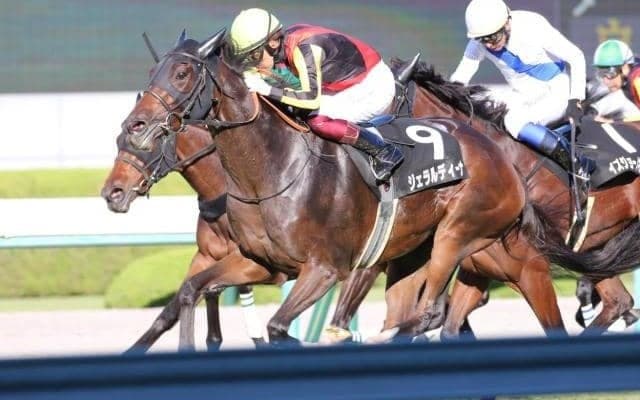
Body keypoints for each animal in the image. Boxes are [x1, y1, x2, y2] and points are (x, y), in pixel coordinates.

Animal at [101, 123, 287, 352]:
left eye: (143, 146)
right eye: (118, 142)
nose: (111, 193)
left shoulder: (260, 266)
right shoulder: (205, 257)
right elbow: (173, 312)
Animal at [117, 29, 610, 343]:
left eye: (182, 74)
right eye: (153, 73)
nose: (135, 126)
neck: (272, 170)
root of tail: (497, 153)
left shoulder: (326, 268)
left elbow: (279, 327)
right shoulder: (258, 263)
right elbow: (189, 293)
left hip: (460, 234)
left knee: (433, 312)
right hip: (423, 254)